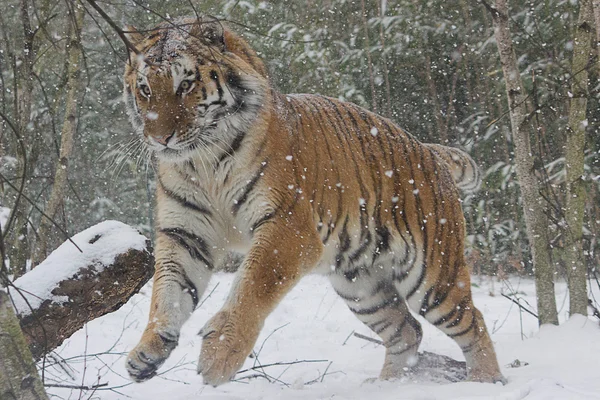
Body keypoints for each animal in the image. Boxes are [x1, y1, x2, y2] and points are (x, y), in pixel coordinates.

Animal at [123, 16, 506, 388]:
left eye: (185, 85)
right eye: (145, 89)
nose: (159, 138)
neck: (202, 162)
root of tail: (431, 152)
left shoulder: (287, 227)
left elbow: (252, 287)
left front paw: (220, 354)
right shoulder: (185, 234)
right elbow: (167, 293)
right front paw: (148, 351)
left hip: (432, 277)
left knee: (473, 321)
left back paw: (485, 380)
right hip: (361, 286)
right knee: (406, 331)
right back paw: (385, 385)